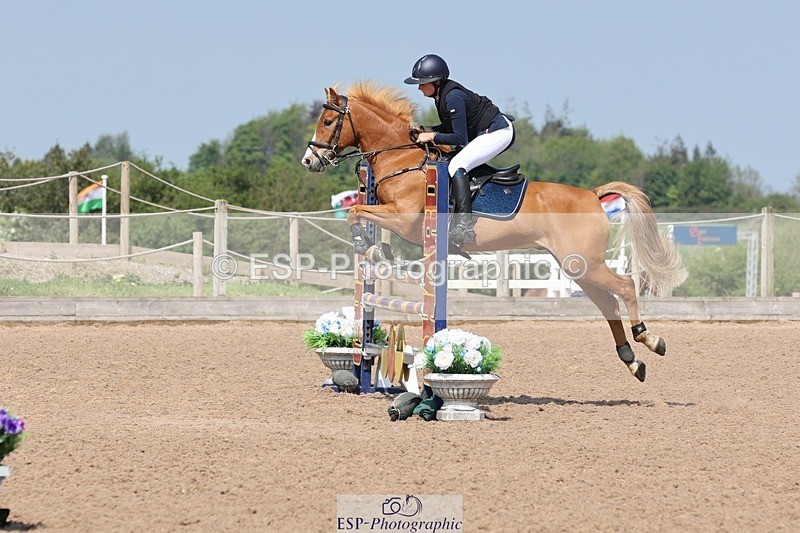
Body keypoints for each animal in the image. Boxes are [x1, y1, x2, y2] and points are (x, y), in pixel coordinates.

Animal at [301, 81, 686, 382]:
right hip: (577, 266)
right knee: (608, 302)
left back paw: (649, 339)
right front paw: (375, 248)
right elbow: (360, 214)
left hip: (585, 264)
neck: (402, 159)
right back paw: (632, 360)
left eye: (329, 121)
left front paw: (368, 244)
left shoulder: (404, 218)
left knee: (625, 287)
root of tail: (593, 194)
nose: (309, 161)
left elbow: (356, 211)